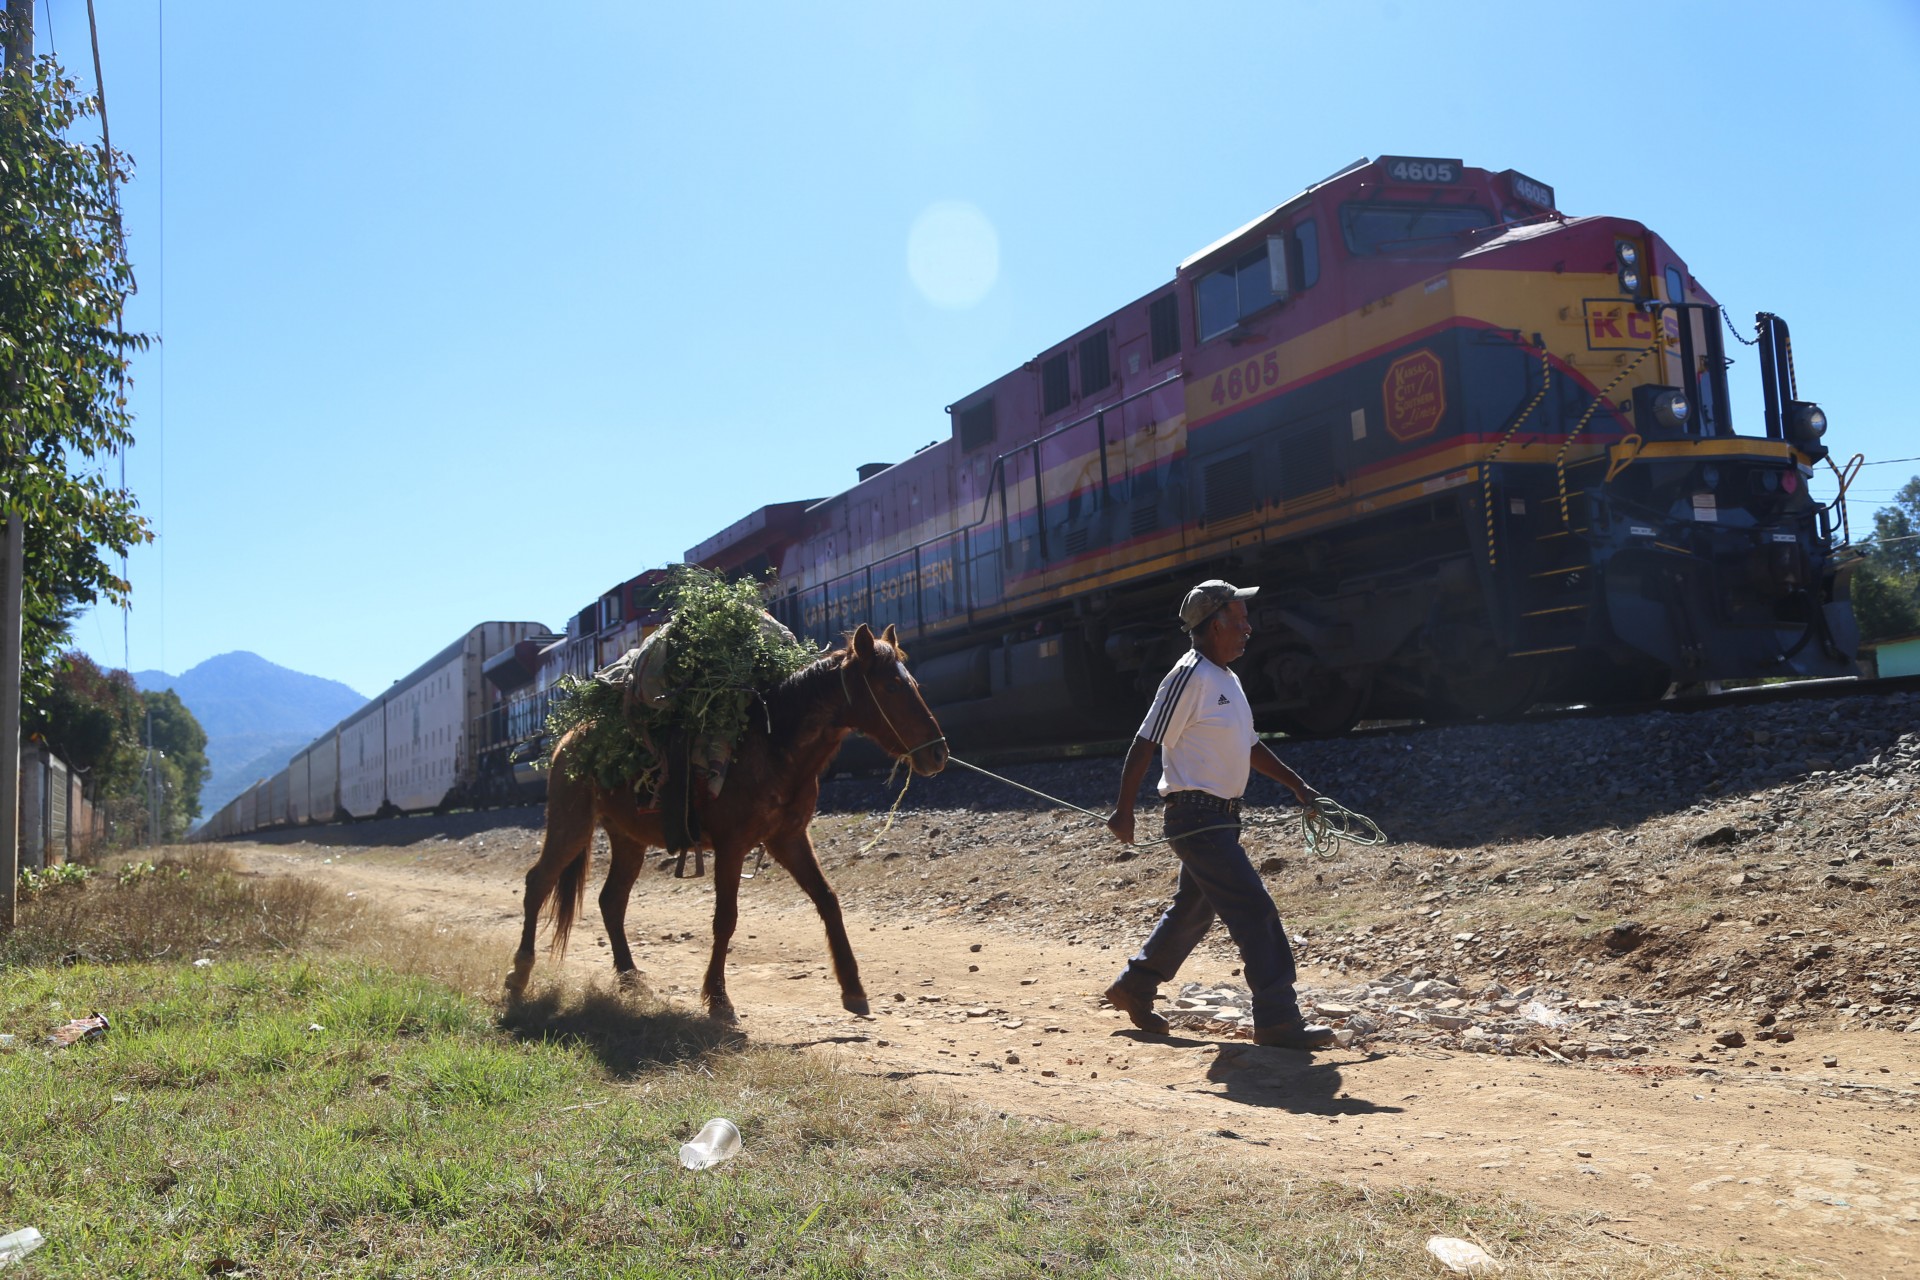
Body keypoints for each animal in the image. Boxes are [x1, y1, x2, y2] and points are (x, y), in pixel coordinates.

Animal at [506, 625, 948, 1028]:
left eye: (913, 683)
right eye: (891, 687)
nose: (939, 754)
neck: (772, 745)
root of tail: (568, 739)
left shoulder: (788, 839)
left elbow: (827, 900)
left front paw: (853, 989)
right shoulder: (732, 846)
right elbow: (726, 919)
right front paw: (719, 999)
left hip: (627, 839)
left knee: (611, 901)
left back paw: (630, 978)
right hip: (571, 824)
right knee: (538, 883)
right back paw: (519, 974)